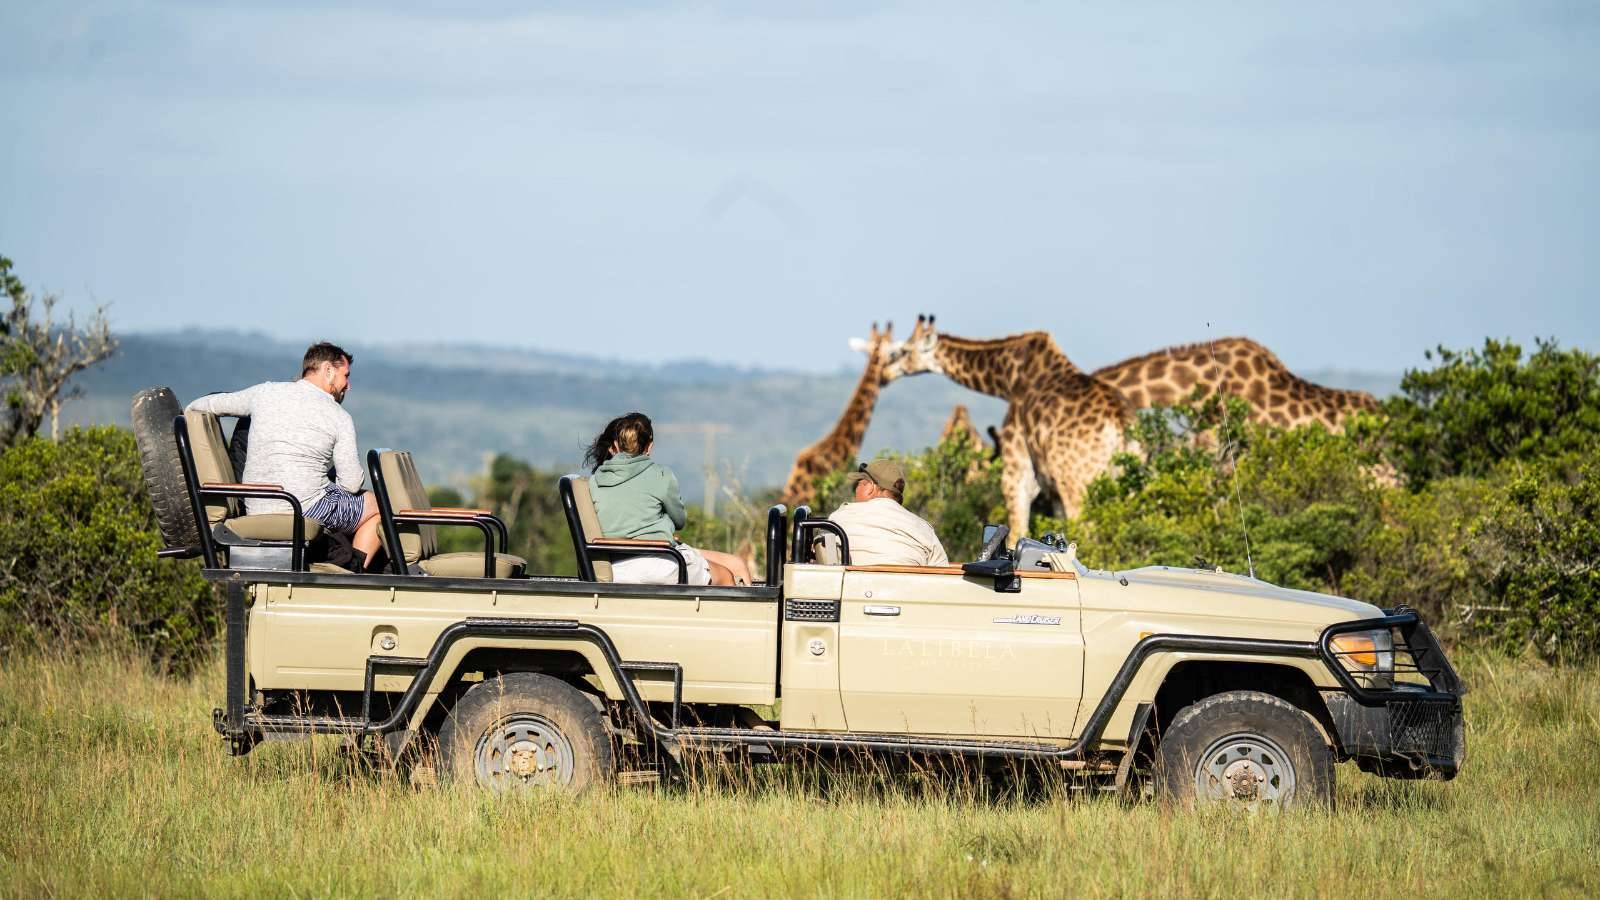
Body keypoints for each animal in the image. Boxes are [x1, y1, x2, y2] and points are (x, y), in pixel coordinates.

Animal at [883, 317, 1132, 538]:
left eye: (903, 351)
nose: (885, 373)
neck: (1009, 379)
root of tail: (1119, 424)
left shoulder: (1017, 467)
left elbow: (1017, 531)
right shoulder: (1050, 487)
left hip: (1077, 481)